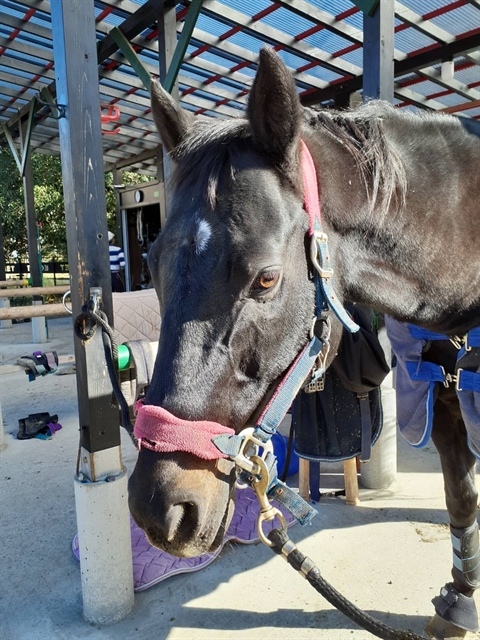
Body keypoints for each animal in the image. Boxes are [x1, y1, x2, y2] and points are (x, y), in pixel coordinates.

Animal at [128, 47, 480, 639]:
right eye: (152, 265)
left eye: (267, 279)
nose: (159, 507)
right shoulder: (446, 395)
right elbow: (461, 497)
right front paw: (460, 600)